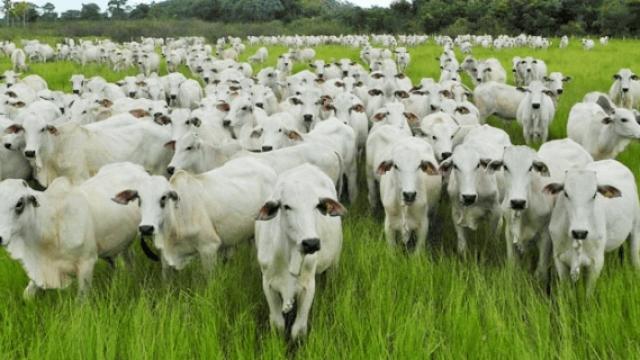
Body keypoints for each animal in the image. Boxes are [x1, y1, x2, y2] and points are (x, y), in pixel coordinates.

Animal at [113, 156, 278, 278]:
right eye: (139, 199)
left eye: (163, 197)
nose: (146, 228)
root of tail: (266, 166)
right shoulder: (165, 257)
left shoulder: (209, 248)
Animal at [255, 163, 344, 340]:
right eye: (286, 206)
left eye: (317, 205)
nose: (311, 243)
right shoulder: (268, 284)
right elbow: (278, 324)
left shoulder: (308, 286)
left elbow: (299, 329)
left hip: (335, 259)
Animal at [544, 162, 640, 294]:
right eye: (566, 193)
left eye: (594, 195)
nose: (579, 233)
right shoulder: (559, 257)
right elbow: (566, 290)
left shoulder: (596, 262)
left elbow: (588, 294)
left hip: (635, 229)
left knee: (635, 260)